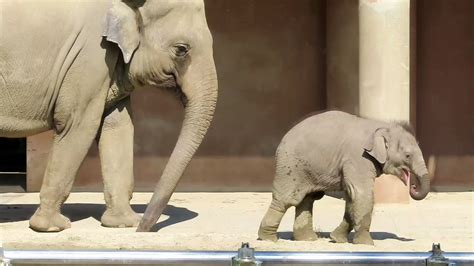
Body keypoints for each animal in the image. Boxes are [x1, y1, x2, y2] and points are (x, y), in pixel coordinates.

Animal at [0, 0, 218, 233]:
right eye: (181, 49)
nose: (143, 229)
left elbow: (118, 126)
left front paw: (123, 224)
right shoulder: (90, 56)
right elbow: (79, 124)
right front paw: (51, 227)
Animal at [258, 110, 432, 245]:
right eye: (408, 156)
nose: (413, 186)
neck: (379, 125)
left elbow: (352, 198)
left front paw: (336, 239)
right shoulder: (358, 157)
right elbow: (361, 194)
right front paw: (367, 244)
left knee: (307, 199)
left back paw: (307, 239)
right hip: (291, 166)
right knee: (286, 199)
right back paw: (268, 239)